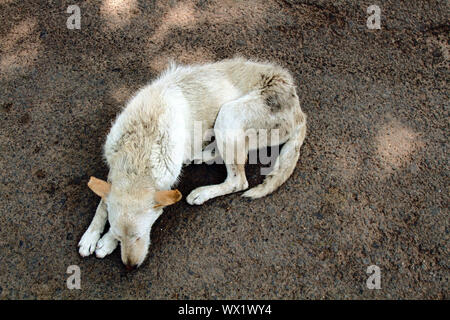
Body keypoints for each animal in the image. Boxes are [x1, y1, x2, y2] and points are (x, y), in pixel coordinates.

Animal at [79, 57, 308, 268]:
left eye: (139, 235)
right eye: (120, 237)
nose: (130, 267)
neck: (139, 145)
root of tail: (300, 111)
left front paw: (105, 242)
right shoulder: (114, 171)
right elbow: (103, 204)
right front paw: (92, 235)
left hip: (229, 114)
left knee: (238, 181)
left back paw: (202, 192)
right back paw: (199, 155)